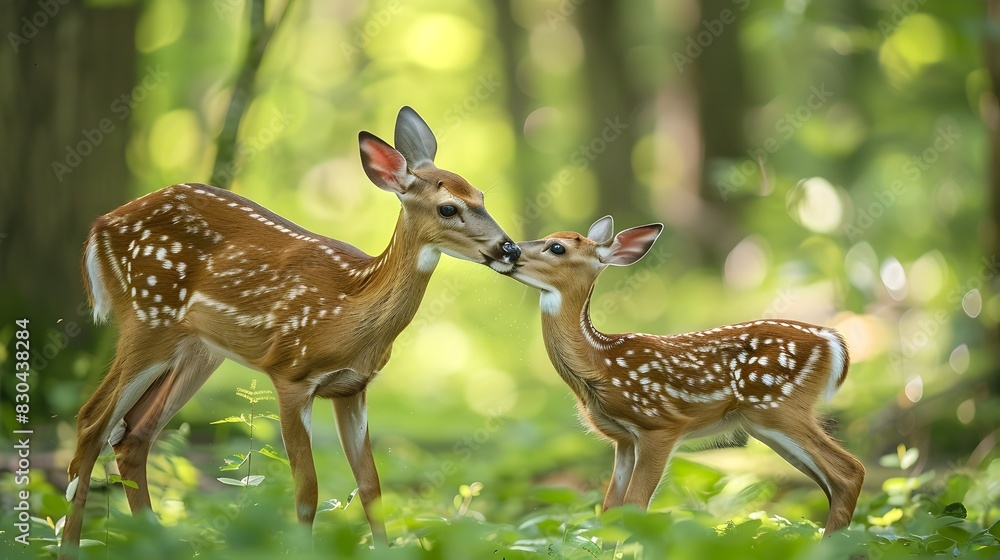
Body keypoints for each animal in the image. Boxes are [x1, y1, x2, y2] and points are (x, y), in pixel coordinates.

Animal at [61, 107, 521, 557]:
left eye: (481, 196)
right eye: (448, 208)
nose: (510, 249)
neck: (352, 313)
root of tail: (97, 229)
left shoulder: (352, 388)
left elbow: (371, 488)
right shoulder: (290, 373)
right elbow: (306, 493)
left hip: (199, 349)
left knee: (133, 436)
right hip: (147, 317)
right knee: (91, 421)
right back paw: (70, 547)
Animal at [503, 216, 865, 535]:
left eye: (557, 247)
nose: (510, 250)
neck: (600, 363)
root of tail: (834, 341)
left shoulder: (659, 425)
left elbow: (636, 505)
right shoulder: (624, 439)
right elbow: (611, 508)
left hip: (779, 405)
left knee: (850, 471)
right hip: (763, 422)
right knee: (831, 482)